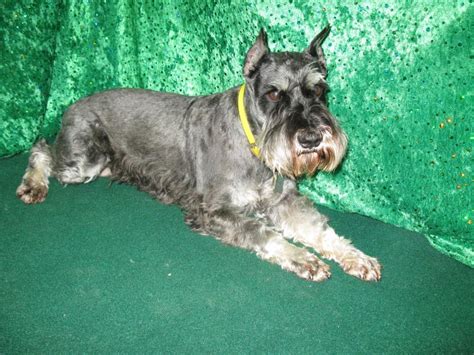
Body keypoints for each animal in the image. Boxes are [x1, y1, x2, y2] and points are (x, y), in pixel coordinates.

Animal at [16, 26, 382, 282]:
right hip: (82, 161)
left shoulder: (284, 200)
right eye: (274, 94)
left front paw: (356, 257)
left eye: (318, 90)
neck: (253, 144)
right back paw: (33, 184)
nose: (310, 139)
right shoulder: (215, 211)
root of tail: (72, 105)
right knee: (42, 149)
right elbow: (263, 233)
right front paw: (303, 258)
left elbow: (317, 230)